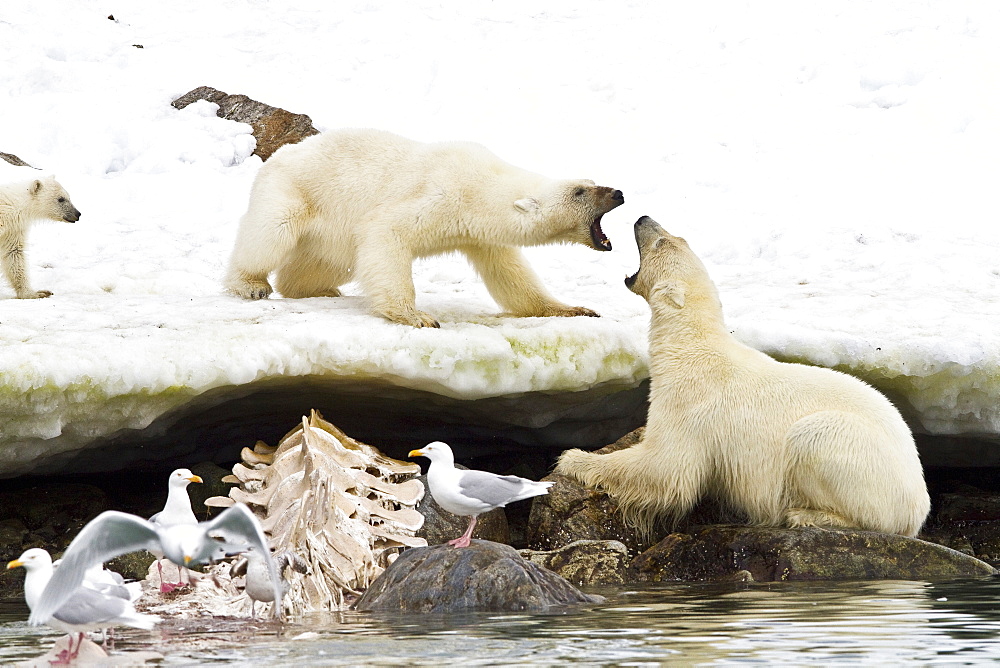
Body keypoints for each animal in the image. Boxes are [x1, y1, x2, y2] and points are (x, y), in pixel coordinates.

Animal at [225, 128, 624, 326]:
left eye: (590, 181)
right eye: (580, 191)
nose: (618, 192)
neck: (481, 185)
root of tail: (278, 155)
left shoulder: (479, 234)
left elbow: (510, 273)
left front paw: (575, 309)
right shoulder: (441, 196)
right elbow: (385, 231)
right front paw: (417, 317)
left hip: (330, 233)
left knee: (329, 263)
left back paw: (321, 290)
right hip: (296, 191)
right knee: (271, 232)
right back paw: (251, 285)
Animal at [556, 217, 928, 540]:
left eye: (664, 241)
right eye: (680, 237)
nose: (643, 218)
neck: (690, 343)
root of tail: (918, 505)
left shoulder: (690, 405)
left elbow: (667, 470)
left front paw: (573, 457)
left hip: (857, 459)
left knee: (814, 441)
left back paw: (804, 514)